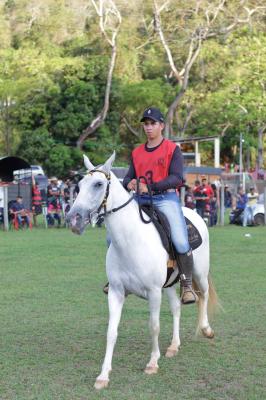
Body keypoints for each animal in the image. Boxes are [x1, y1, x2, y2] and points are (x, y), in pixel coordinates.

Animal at [67, 153, 218, 390]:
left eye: (98, 184)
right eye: (79, 185)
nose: (73, 219)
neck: (131, 241)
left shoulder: (154, 292)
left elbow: (154, 326)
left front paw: (152, 363)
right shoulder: (116, 292)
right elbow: (111, 332)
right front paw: (103, 375)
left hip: (199, 274)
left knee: (202, 295)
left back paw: (206, 329)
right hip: (170, 285)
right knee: (176, 308)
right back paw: (173, 346)